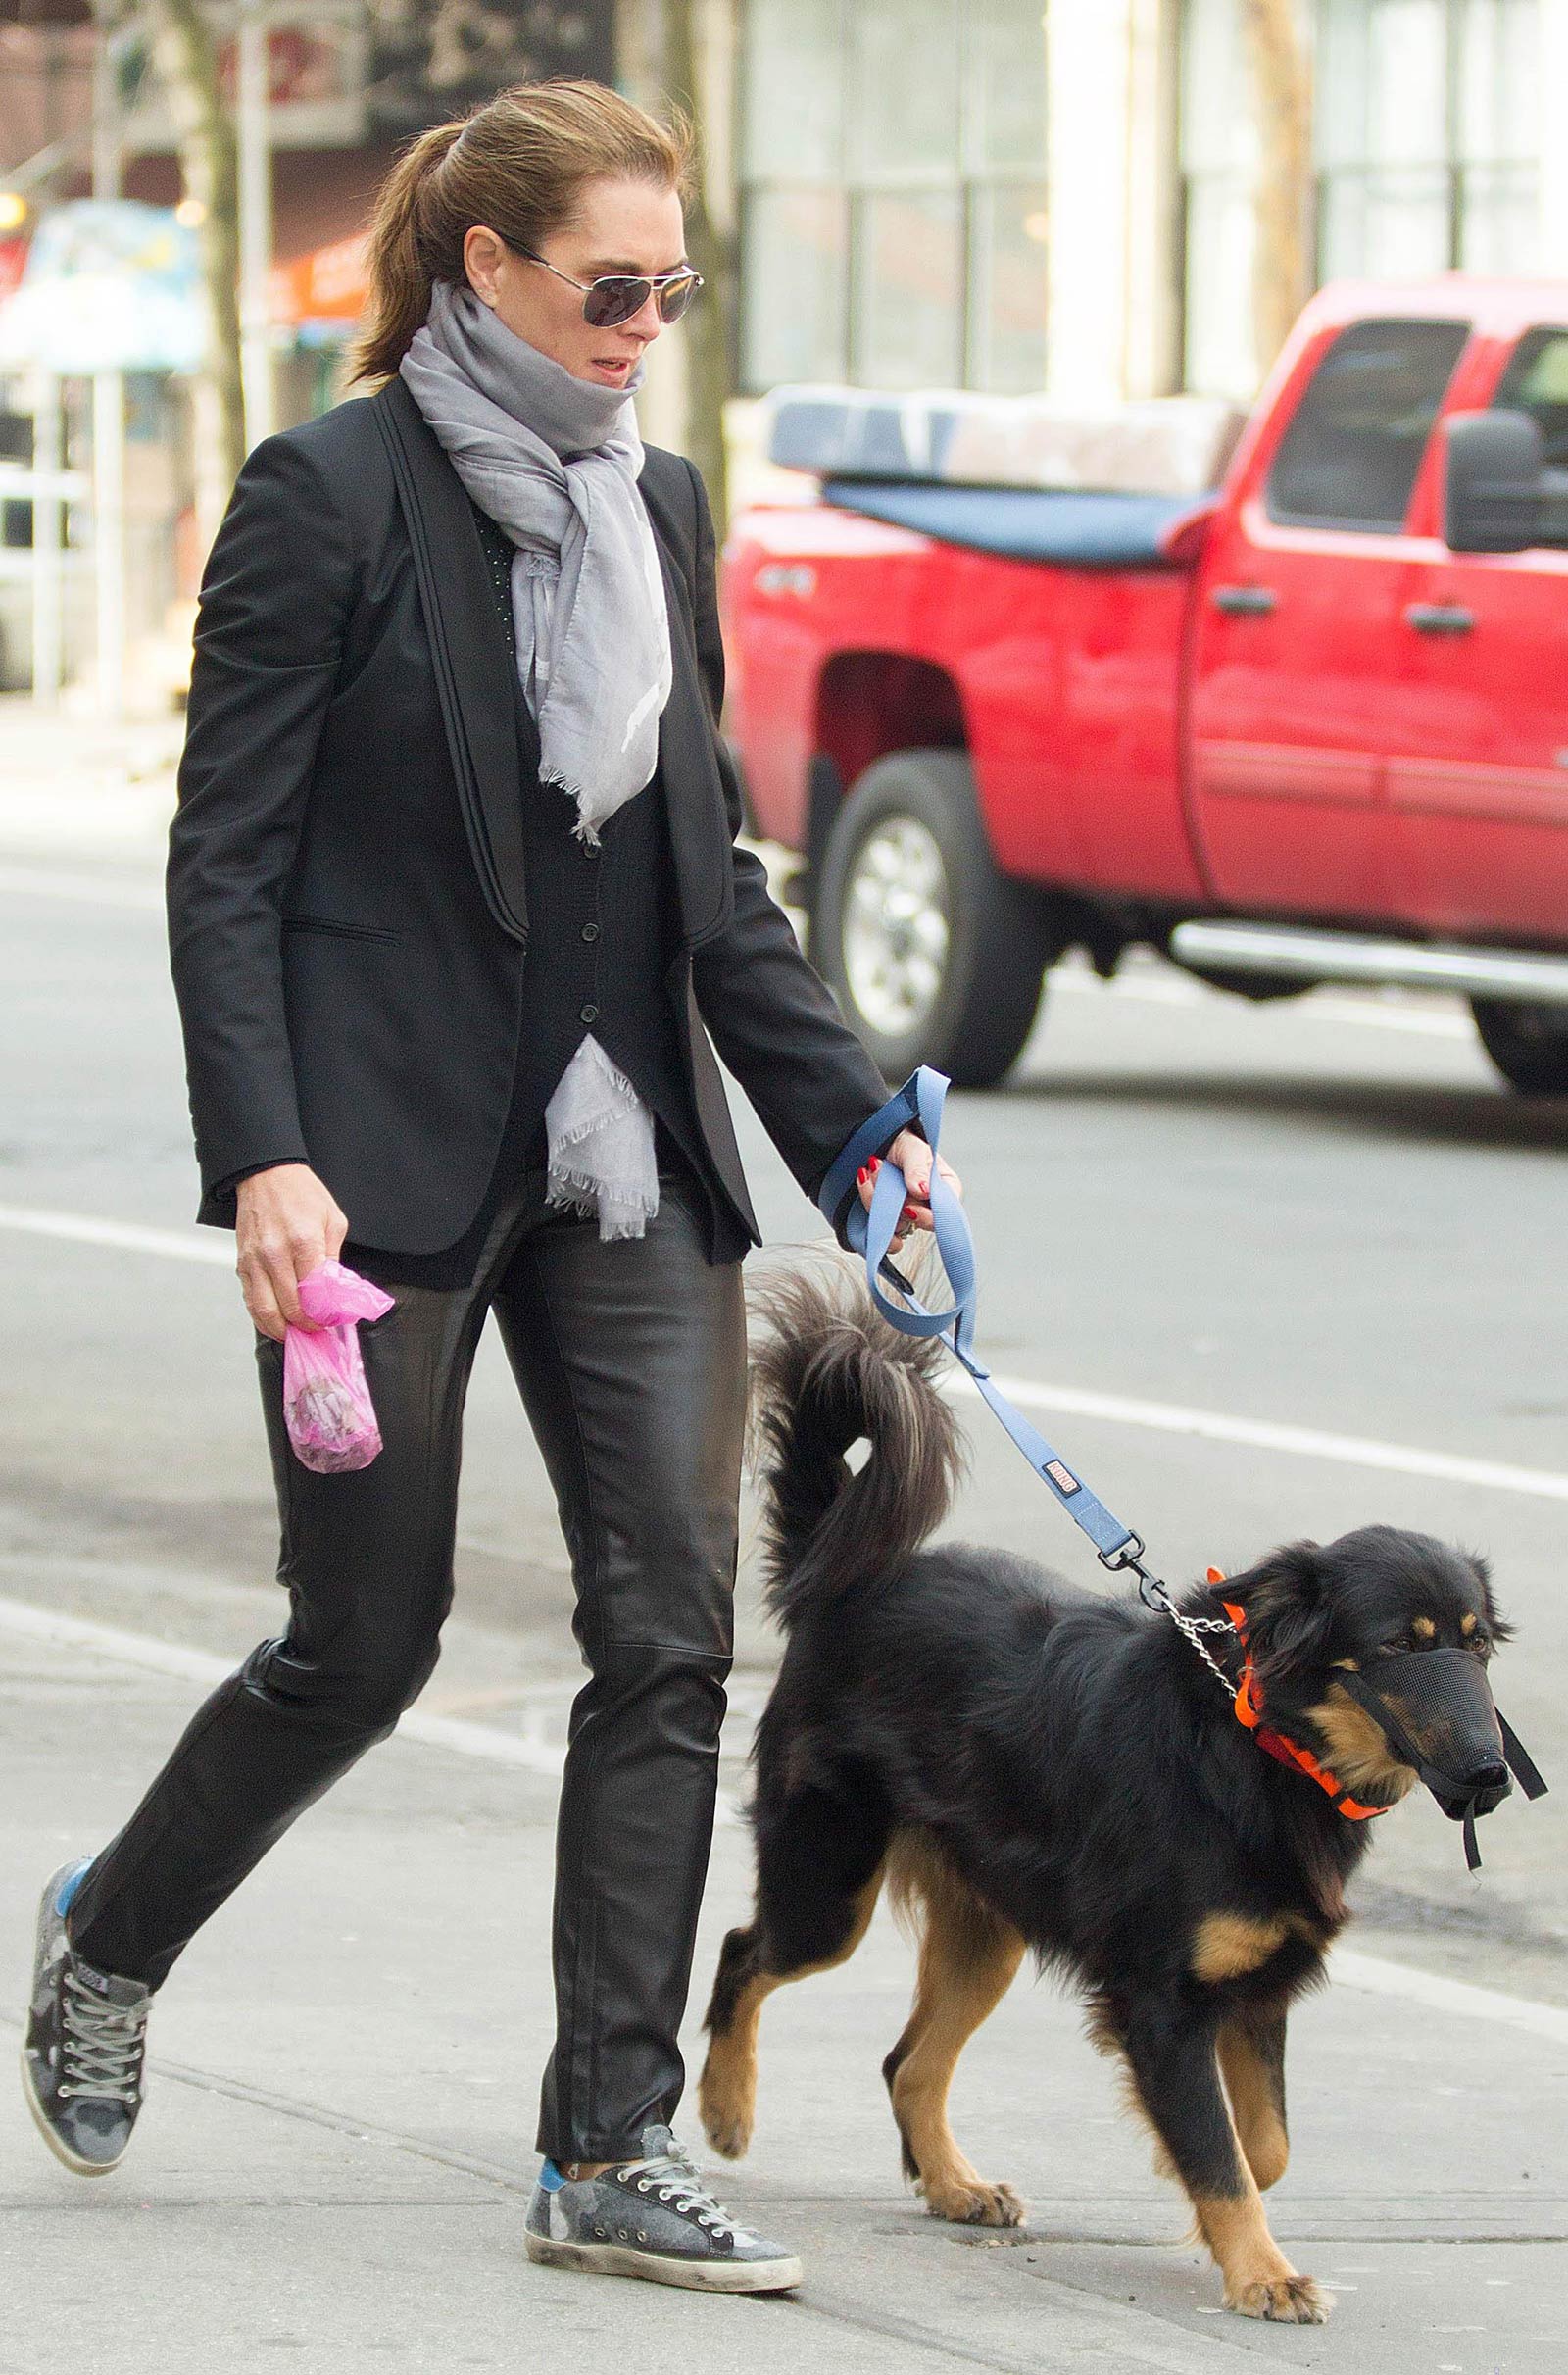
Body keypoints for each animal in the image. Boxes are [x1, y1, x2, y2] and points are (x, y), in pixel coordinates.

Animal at [703, 1263, 1520, 2317]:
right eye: (1396, 1647)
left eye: (1476, 1643)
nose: (1493, 1772)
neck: (1259, 1746)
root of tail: (844, 1581)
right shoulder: (1162, 1997)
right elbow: (1224, 2152)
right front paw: (1261, 2272)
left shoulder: (1254, 1989)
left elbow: (1260, 2147)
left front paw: (1216, 2220)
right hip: (830, 1887)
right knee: (744, 1954)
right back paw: (725, 2109)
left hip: (989, 1933)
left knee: (907, 2060)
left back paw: (953, 2183)